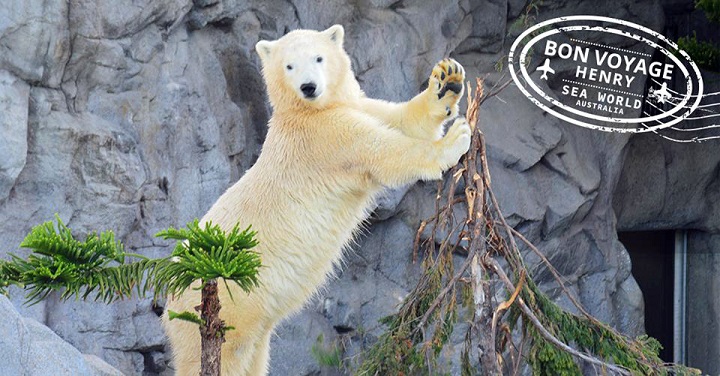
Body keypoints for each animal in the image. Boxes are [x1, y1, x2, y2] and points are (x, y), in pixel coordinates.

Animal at [165, 25, 472, 374]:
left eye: (318, 57)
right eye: (289, 66)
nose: (309, 87)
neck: (308, 110)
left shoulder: (353, 108)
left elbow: (399, 119)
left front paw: (447, 80)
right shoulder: (324, 138)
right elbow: (385, 150)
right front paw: (455, 139)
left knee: (254, 353)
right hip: (227, 302)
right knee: (224, 354)